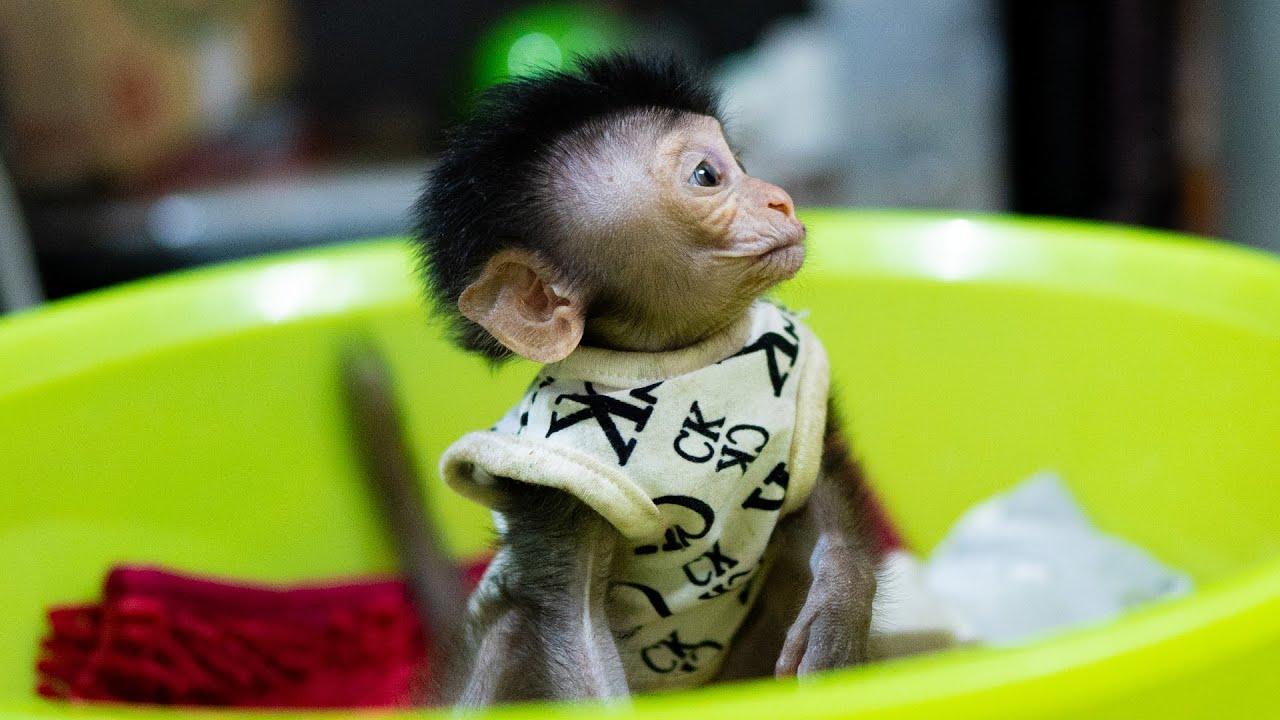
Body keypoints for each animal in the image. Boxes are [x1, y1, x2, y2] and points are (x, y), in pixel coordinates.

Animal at [409, 54, 882, 706]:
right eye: (707, 175)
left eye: (740, 162)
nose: (781, 202)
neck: (682, 356)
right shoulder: (557, 482)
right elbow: (574, 627)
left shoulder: (799, 387)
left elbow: (825, 507)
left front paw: (837, 625)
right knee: (511, 629)